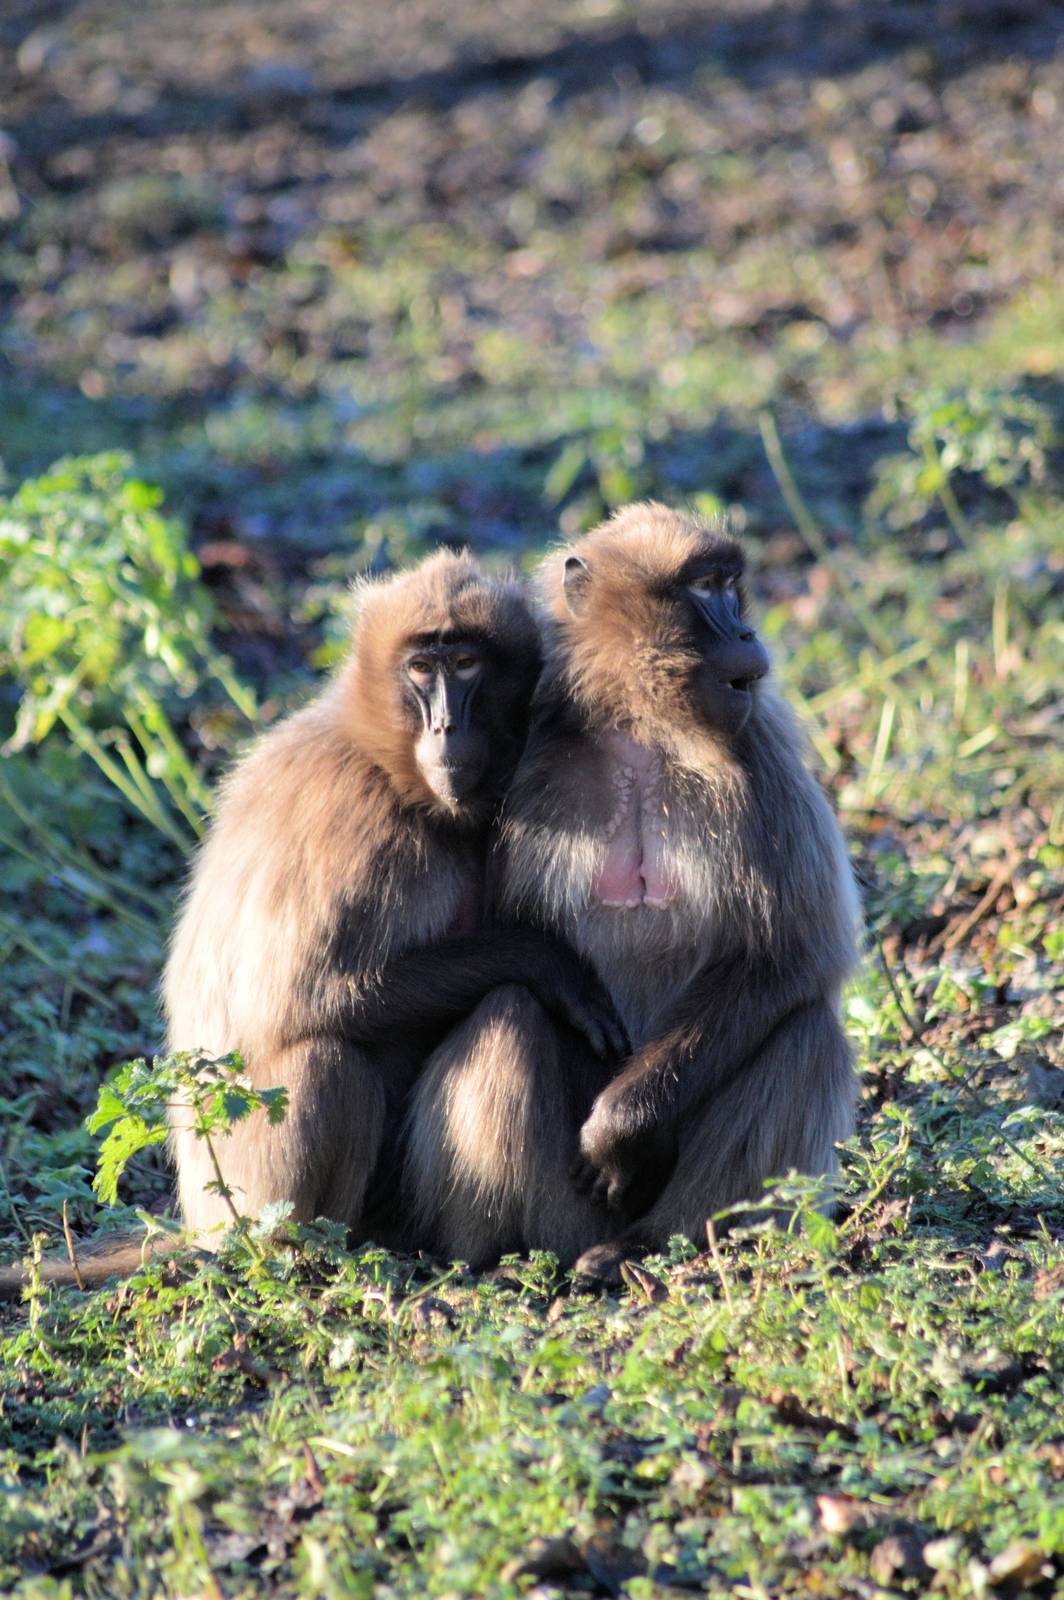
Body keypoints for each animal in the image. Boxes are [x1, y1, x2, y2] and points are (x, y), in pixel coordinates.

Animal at [0, 549, 623, 1297]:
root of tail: (203, 1230)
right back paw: (319, 1256)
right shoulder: (355, 824)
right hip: (245, 1188)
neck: (389, 765)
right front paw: (552, 966)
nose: (447, 728)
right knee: (333, 1059)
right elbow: (304, 997)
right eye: (423, 668)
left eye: (468, 662)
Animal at [399, 503, 860, 1275]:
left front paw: (621, 1133)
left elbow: (788, 956)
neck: (642, 726)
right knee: (509, 1012)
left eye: (730, 586)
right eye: (704, 588)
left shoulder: (760, 755)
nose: (746, 635)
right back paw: (498, 1256)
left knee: (806, 1029)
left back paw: (644, 1245)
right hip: (561, 1208)